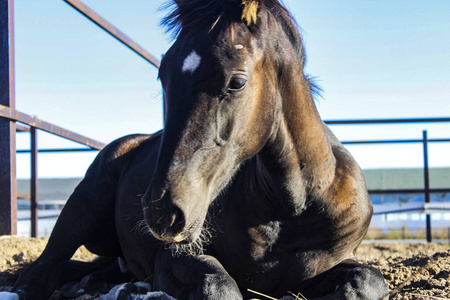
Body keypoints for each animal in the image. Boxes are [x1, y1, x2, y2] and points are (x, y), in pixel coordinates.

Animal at [6, 1, 390, 298]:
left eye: (237, 81)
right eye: (163, 75)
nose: (161, 211)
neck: (292, 205)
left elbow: (367, 281)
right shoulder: (173, 254)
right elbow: (218, 287)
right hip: (81, 207)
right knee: (39, 272)